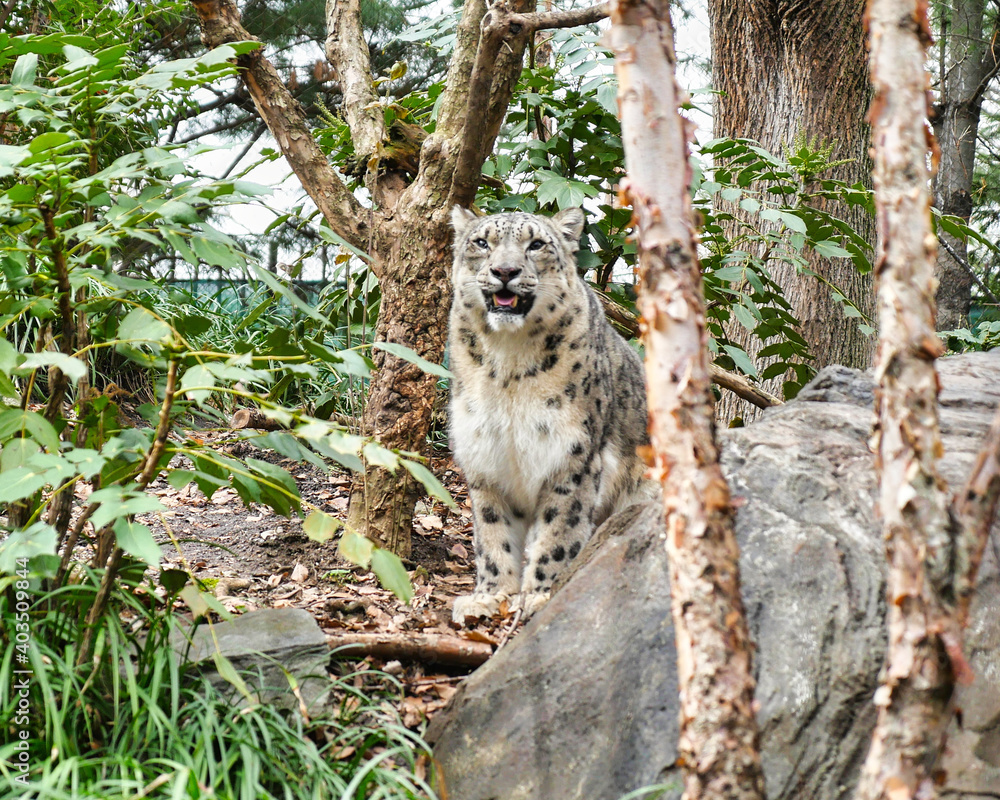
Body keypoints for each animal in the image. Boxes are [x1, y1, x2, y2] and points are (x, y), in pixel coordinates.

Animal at [448, 206, 653, 623]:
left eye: (536, 244)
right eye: (482, 242)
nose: (505, 271)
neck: (506, 365)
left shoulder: (572, 456)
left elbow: (560, 529)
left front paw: (541, 595)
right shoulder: (484, 456)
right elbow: (492, 534)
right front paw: (490, 595)